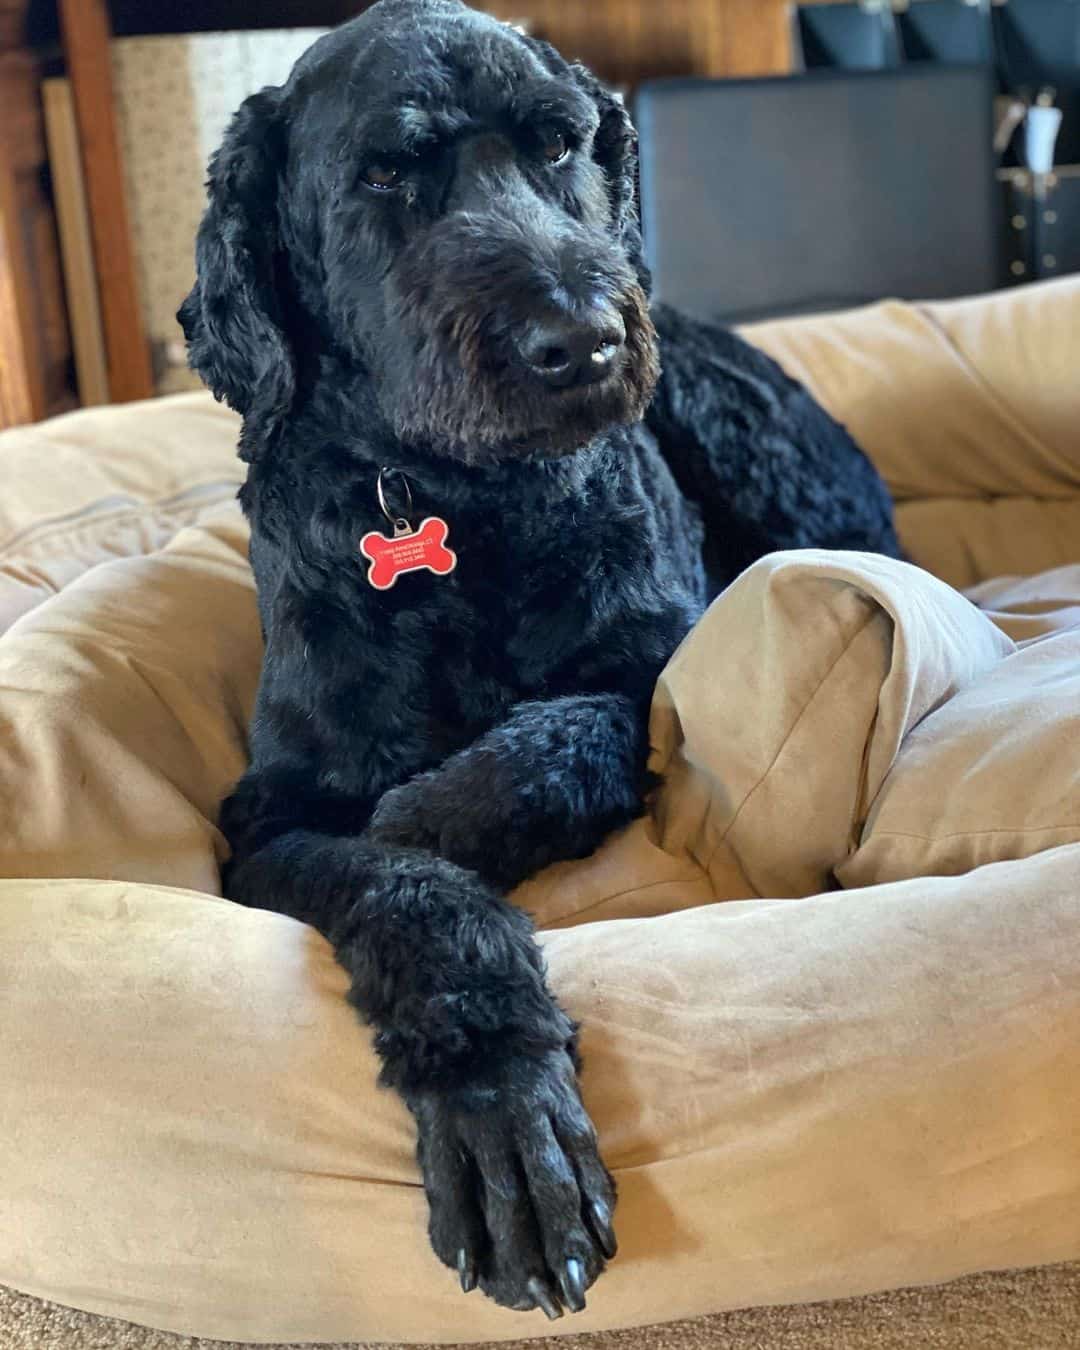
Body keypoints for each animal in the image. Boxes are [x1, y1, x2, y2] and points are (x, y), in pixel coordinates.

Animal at [179, 0, 901, 1323]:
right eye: (384, 173)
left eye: (561, 143)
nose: (584, 339)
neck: (458, 512)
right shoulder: (268, 820)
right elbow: (404, 891)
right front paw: (498, 1109)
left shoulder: (657, 660)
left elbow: (560, 736)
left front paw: (441, 814)